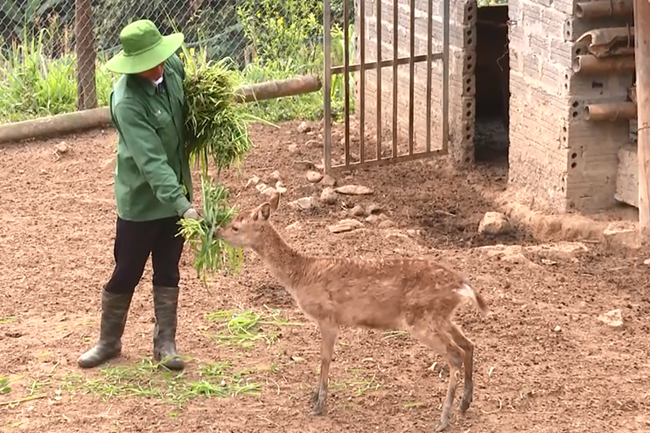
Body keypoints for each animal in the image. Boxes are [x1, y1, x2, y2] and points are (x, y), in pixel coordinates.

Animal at [215, 191, 488, 430]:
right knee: (468, 344)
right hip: (441, 316)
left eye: (236, 226)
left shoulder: (328, 317)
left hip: (421, 318)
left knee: (455, 354)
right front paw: (314, 397)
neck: (300, 276)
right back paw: (465, 403)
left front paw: (319, 404)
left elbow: (325, 358)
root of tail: (463, 287)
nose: (217, 231)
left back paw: (443, 419)